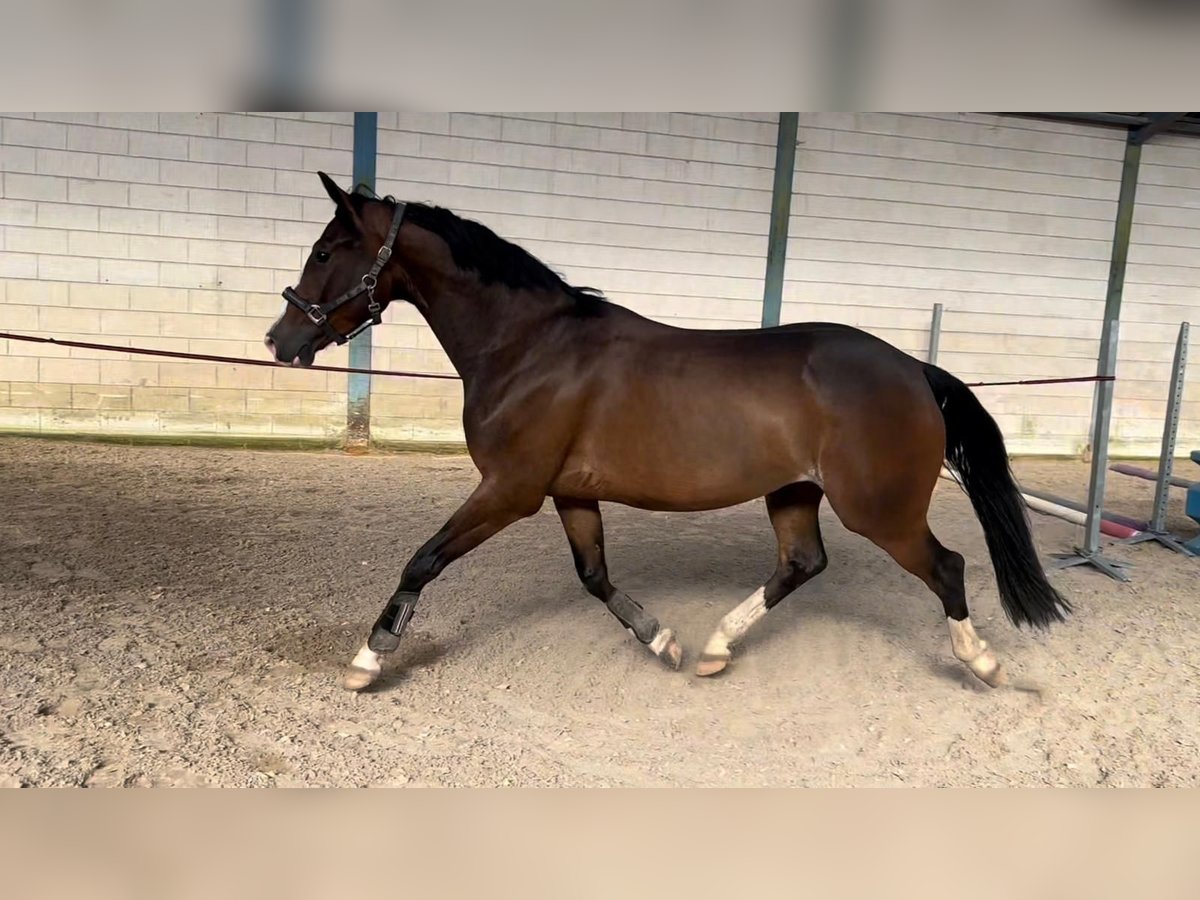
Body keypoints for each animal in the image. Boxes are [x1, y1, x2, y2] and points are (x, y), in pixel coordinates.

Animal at [265, 174, 1070, 696]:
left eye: (327, 249)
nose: (281, 339)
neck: (529, 346)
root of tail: (912, 369)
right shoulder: (566, 494)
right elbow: (594, 577)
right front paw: (663, 641)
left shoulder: (509, 490)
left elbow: (422, 560)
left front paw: (369, 661)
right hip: (794, 492)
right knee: (803, 563)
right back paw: (713, 648)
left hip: (880, 509)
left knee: (947, 568)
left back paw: (984, 664)